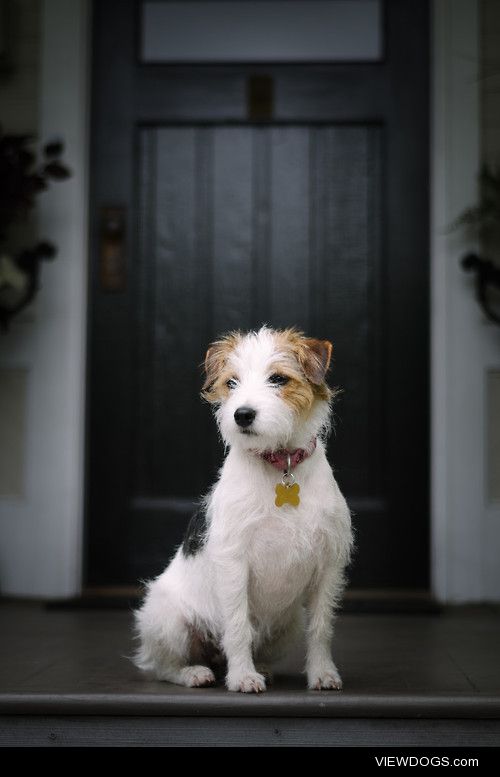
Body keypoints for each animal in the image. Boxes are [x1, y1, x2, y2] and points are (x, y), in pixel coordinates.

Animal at [133, 322, 352, 692]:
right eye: (231, 382)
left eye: (278, 379)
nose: (242, 414)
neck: (281, 464)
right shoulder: (234, 562)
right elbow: (237, 628)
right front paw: (242, 677)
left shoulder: (328, 565)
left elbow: (322, 627)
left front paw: (323, 673)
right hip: (167, 621)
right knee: (161, 666)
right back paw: (195, 673)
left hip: (289, 623)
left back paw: (260, 666)